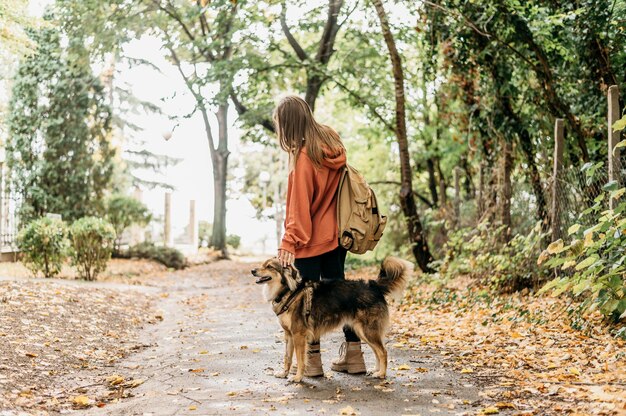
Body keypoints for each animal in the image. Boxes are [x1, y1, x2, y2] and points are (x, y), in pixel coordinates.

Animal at [251, 256, 412, 384]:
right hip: (363, 332)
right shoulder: (288, 334)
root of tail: (374, 286)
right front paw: (283, 373)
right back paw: (376, 370)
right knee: (377, 351)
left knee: (383, 352)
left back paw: (382, 374)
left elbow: (300, 358)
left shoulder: (298, 335)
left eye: (269, 267)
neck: (288, 292)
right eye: (263, 264)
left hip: (367, 331)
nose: (253, 270)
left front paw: (297, 377)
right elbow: (287, 357)